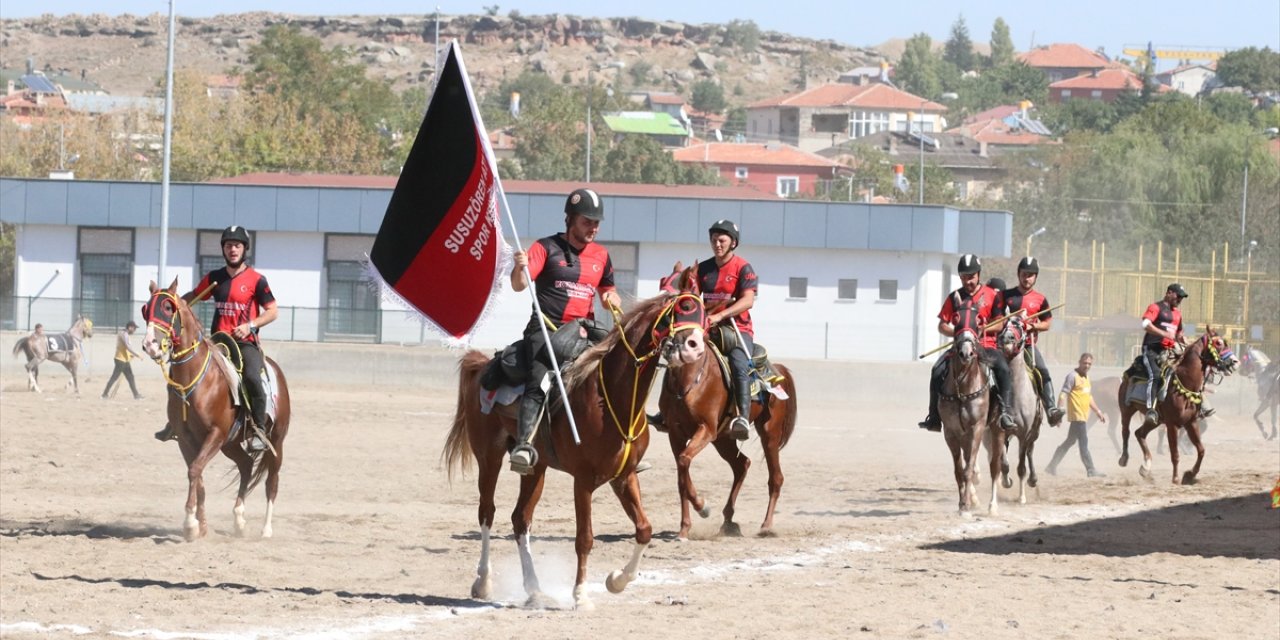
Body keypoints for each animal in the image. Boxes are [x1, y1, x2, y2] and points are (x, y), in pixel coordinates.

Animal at [138, 280, 291, 540]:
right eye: (145, 309)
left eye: (168, 308)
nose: (150, 344)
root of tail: (276, 370)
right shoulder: (186, 439)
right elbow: (196, 474)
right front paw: (201, 525)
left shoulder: (215, 433)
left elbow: (194, 471)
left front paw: (190, 523)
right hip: (231, 444)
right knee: (246, 465)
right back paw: (238, 519)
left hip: (276, 441)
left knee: (272, 481)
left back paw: (266, 528)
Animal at [442, 268, 701, 609]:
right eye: (682, 308)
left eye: (705, 313)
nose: (696, 346)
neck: (612, 399)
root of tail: (483, 364)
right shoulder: (584, 480)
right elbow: (584, 538)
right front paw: (581, 595)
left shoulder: (624, 476)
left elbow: (645, 529)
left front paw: (616, 581)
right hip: (489, 457)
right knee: (487, 512)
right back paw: (483, 582)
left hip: (535, 469)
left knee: (520, 519)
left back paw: (534, 589)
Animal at [655, 264, 793, 540]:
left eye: (686, 305)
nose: (678, 345)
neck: (689, 379)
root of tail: (778, 369)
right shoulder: (675, 433)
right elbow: (681, 475)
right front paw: (684, 527)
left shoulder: (705, 429)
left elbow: (684, 463)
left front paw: (702, 507)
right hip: (724, 438)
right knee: (742, 465)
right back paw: (729, 520)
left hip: (768, 433)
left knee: (775, 478)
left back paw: (766, 525)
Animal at [1116, 327, 1233, 481]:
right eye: (1218, 343)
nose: (1234, 361)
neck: (1185, 383)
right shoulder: (1172, 425)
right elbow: (1175, 454)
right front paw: (1176, 478)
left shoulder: (1191, 423)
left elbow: (1201, 450)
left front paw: (1190, 475)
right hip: (1126, 410)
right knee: (1126, 431)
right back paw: (1124, 458)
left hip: (1156, 420)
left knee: (1139, 433)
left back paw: (1146, 468)